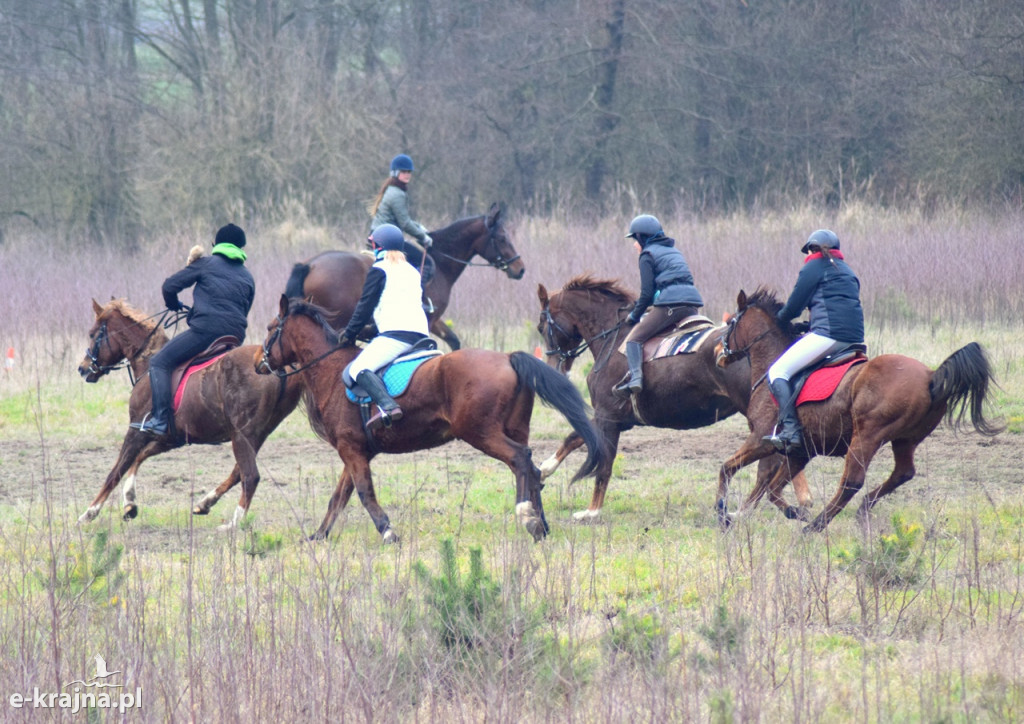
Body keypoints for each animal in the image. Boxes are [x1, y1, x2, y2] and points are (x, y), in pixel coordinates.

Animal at [76, 296, 303, 528]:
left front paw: (89, 512)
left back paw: (233, 523)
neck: (147, 365)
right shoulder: (170, 438)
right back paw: (205, 503)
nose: (83, 368)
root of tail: (275, 367)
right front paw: (129, 503)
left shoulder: (137, 430)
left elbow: (116, 471)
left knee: (250, 476)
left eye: (93, 334)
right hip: (256, 436)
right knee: (238, 473)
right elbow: (138, 459)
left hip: (242, 435)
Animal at [256, 296, 606, 544]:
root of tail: (508, 357)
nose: (260, 363)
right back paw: (540, 524)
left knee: (521, 459)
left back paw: (526, 516)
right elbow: (338, 498)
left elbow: (364, 493)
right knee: (531, 469)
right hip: (514, 428)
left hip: (481, 433)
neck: (330, 370)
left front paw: (388, 533)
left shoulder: (351, 450)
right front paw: (318, 536)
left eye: (271, 328)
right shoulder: (354, 451)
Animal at [284, 203, 524, 350]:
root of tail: (309, 265)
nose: (520, 269)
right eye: (502, 238)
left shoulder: (434, 320)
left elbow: (454, 340)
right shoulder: (429, 319)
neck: (442, 264)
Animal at [532, 276, 811, 520]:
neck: (613, 339)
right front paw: (544, 469)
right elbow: (573, 437)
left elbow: (604, 466)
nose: (554, 367)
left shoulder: (608, 417)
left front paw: (591, 511)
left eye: (541, 326)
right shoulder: (614, 418)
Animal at [712, 288, 999, 532]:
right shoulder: (801, 451)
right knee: (902, 473)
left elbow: (727, 468)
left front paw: (723, 512)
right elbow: (771, 488)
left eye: (731, 323)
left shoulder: (761, 439)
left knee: (852, 481)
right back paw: (861, 509)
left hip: (867, 436)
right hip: (905, 440)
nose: (717, 352)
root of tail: (931, 376)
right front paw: (793, 511)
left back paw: (816, 526)